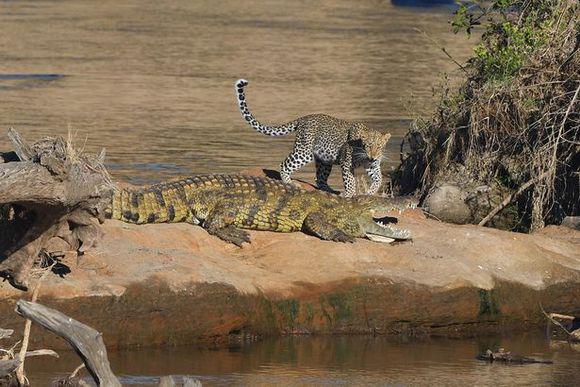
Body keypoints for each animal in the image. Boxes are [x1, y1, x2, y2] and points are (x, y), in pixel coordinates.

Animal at [233, 80, 392, 199]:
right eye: (368, 145)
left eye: (379, 147)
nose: (372, 156)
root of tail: (304, 118)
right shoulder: (347, 164)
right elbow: (350, 181)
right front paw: (349, 194)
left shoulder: (373, 166)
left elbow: (378, 179)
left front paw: (370, 192)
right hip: (305, 151)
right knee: (284, 164)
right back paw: (290, 182)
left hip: (324, 160)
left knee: (319, 179)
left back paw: (331, 190)